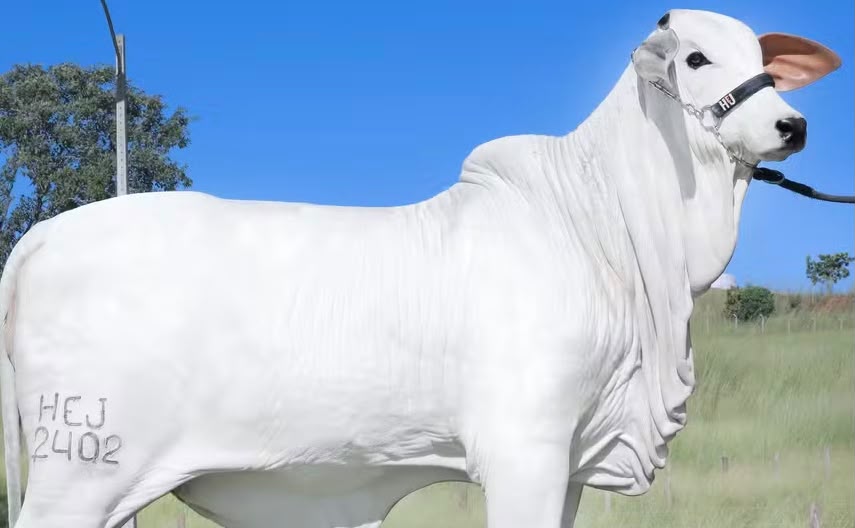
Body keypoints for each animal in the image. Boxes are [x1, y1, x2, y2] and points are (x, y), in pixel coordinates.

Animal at [0, 8, 841, 528]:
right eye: (696, 58)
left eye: (767, 63)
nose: (790, 125)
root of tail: (40, 237)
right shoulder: (524, 449)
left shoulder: (572, 460)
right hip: (80, 470)